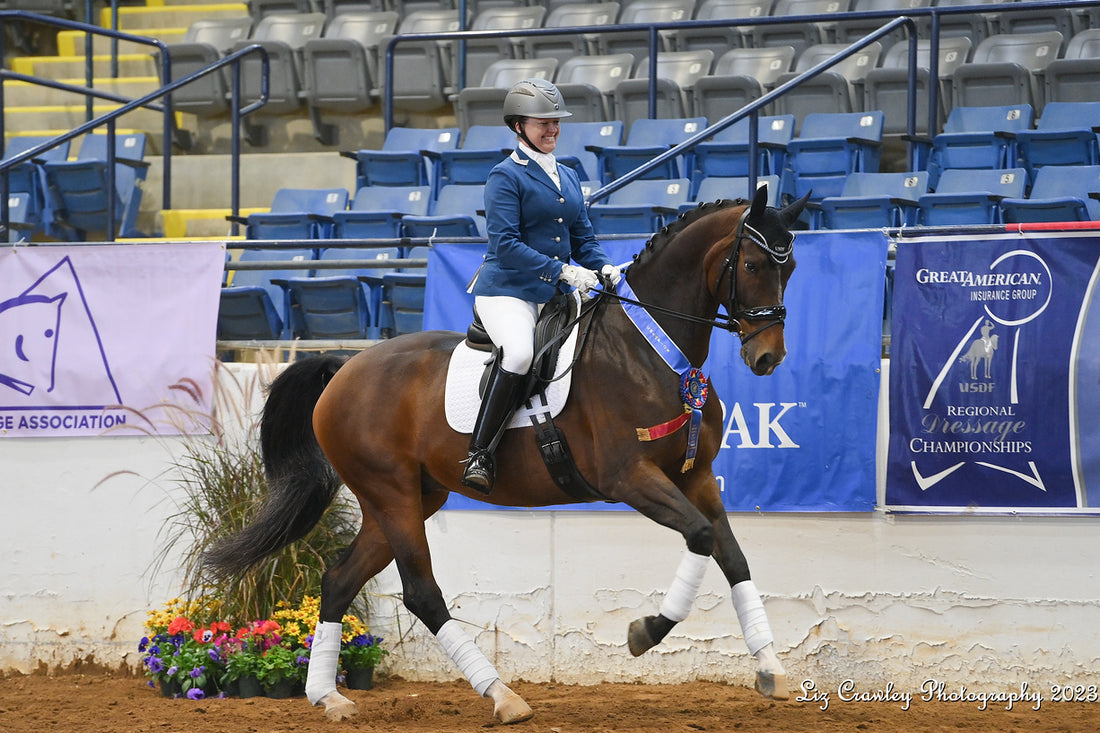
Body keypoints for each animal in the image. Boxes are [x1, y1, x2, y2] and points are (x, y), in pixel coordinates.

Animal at [206, 186, 809, 721]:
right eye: (753, 264)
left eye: (792, 267)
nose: (768, 358)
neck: (651, 348)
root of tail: (343, 366)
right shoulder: (629, 477)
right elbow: (702, 538)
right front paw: (645, 632)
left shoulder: (696, 477)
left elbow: (732, 556)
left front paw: (771, 670)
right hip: (391, 493)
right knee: (421, 593)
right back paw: (502, 696)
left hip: (405, 499)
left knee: (338, 581)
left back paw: (328, 698)